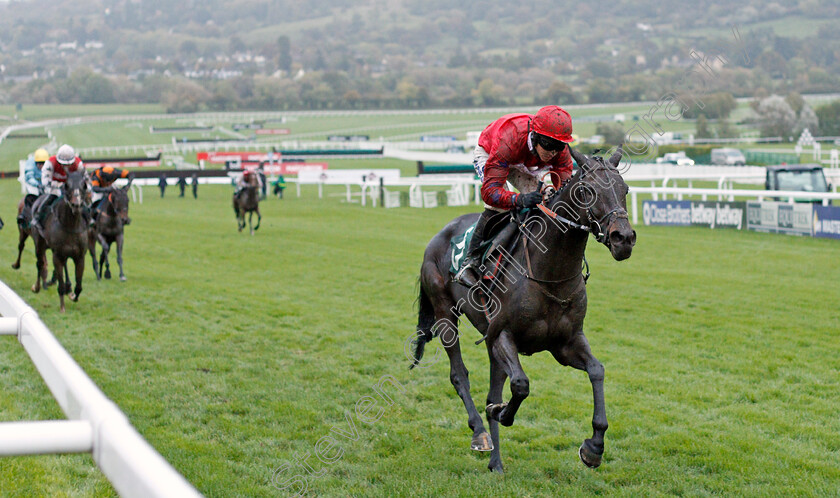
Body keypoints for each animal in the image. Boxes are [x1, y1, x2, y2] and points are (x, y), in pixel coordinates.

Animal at [30, 171, 90, 312]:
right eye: (66, 185)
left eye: (84, 185)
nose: (76, 205)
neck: (71, 225)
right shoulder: (56, 255)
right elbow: (60, 283)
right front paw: (62, 307)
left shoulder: (80, 257)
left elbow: (79, 286)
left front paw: (73, 295)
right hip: (39, 244)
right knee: (40, 264)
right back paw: (37, 287)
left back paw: (69, 288)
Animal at [412, 145, 636, 474]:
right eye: (586, 191)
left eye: (625, 189)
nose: (624, 238)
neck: (551, 273)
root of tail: (438, 235)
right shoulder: (503, 335)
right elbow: (520, 385)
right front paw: (501, 412)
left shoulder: (566, 342)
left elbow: (597, 370)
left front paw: (594, 447)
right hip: (446, 315)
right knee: (459, 375)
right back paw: (480, 434)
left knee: (491, 387)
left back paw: (496, 462)